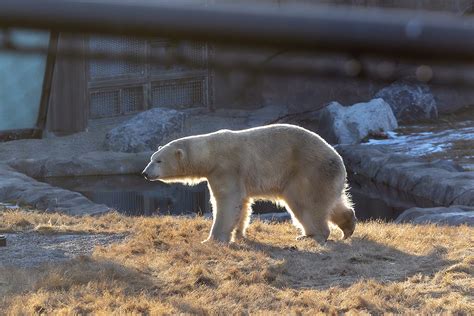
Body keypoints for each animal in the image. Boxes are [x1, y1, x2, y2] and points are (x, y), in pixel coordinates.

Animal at [141, 124, 356, 244]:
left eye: (158, 160)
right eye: (151, 158)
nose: (145, 173)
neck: (210, 151)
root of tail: (338, 159)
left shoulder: (225, 168)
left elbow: (226, 201)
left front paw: (213, 238)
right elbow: (242, 204)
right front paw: (238, 233)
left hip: (308, 171)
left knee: (305, 203)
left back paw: (312, 235)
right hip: (324, 177)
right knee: (331, 201)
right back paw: (348, 225)